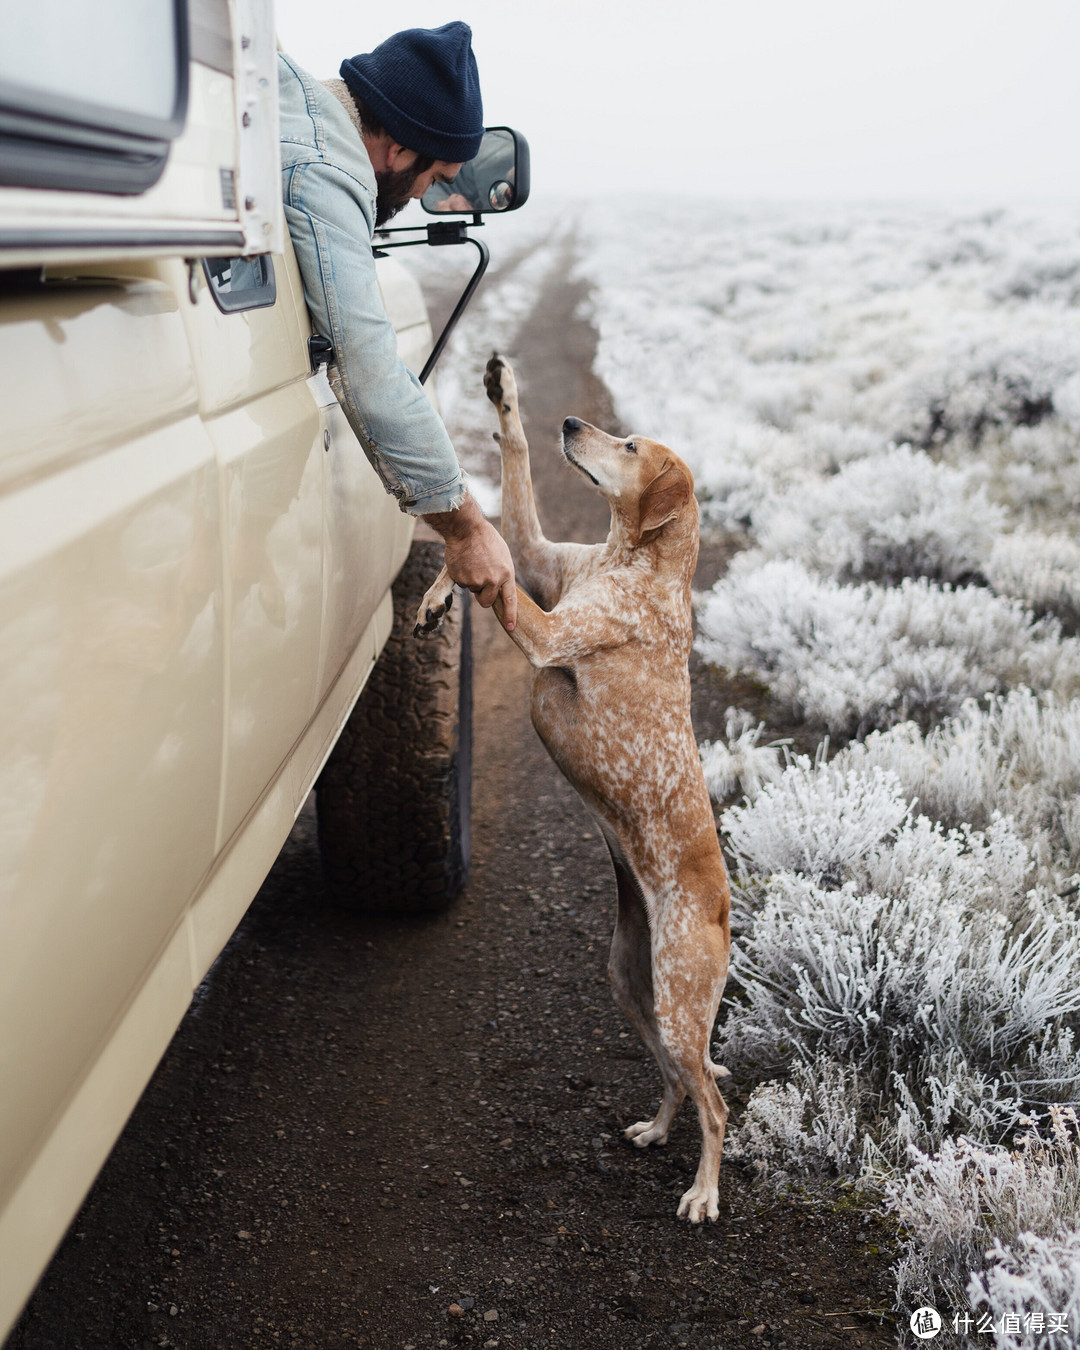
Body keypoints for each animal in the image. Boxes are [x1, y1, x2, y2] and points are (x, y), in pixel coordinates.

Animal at [413, 353, 734, 1220]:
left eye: (628, 445)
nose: (570, 423)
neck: (631, 560)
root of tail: (725, 916)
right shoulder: (539, 559)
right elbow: (507, 503)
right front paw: (504, 393)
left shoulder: (549, 631)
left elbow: (502, 587)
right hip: (632, 987)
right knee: (677, 1080)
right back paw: (655, 1130)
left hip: (680, 1001)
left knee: (717, 1105)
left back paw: (702, 1193)